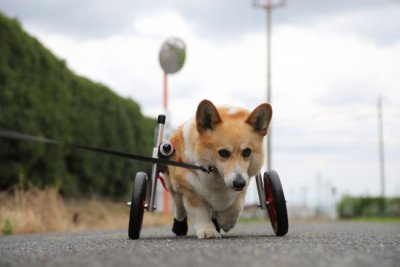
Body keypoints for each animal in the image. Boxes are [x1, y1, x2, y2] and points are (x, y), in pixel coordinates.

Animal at [165, 99, 272, 240]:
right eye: (224, 153)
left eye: (247, 152)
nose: (239, 183)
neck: (218, 179)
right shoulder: (190, 190)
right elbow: (200, 213)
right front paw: (208, 231)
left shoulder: (244, 182)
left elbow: (236, 205)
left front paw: (226, 222)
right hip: (174, 187)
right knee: (179, 206)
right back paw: (179, 225)